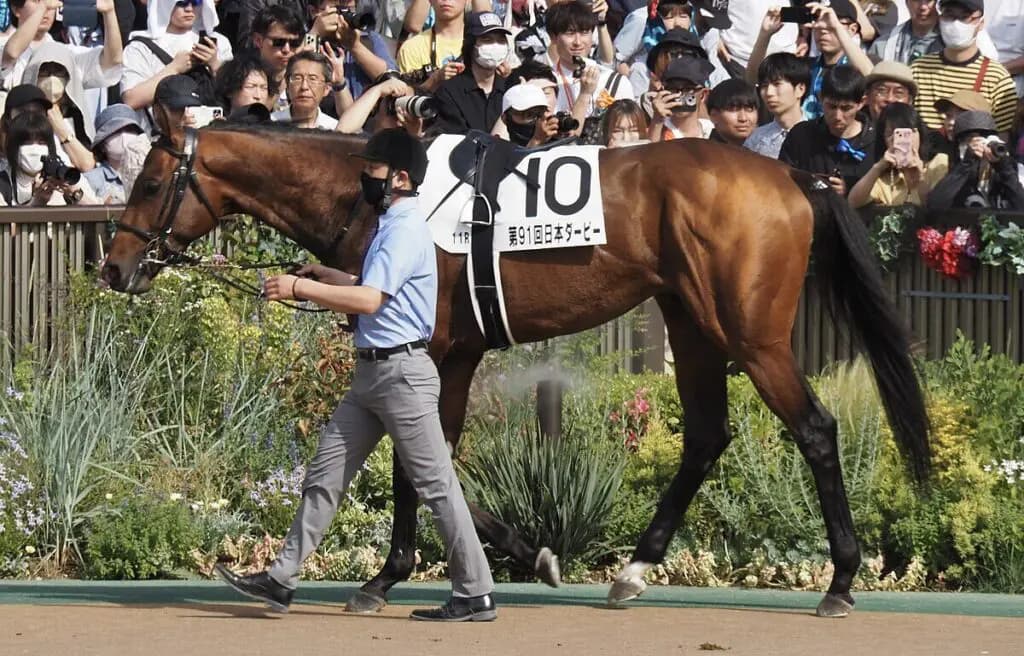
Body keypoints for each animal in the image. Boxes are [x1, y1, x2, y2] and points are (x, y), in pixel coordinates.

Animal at [100, 112, 929, 619]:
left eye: (150, 182)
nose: (114, 267)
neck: (370, 194)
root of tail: (795, 179)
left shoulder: (433, 347)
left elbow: (414, 461)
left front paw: (388, 576)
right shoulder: (457, 355)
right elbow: (434, 456)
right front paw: (524, 551)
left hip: (752, 336)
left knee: (815, 429)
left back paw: (840, 581)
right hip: (691, 322)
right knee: (704, 437)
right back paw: (633, 571)